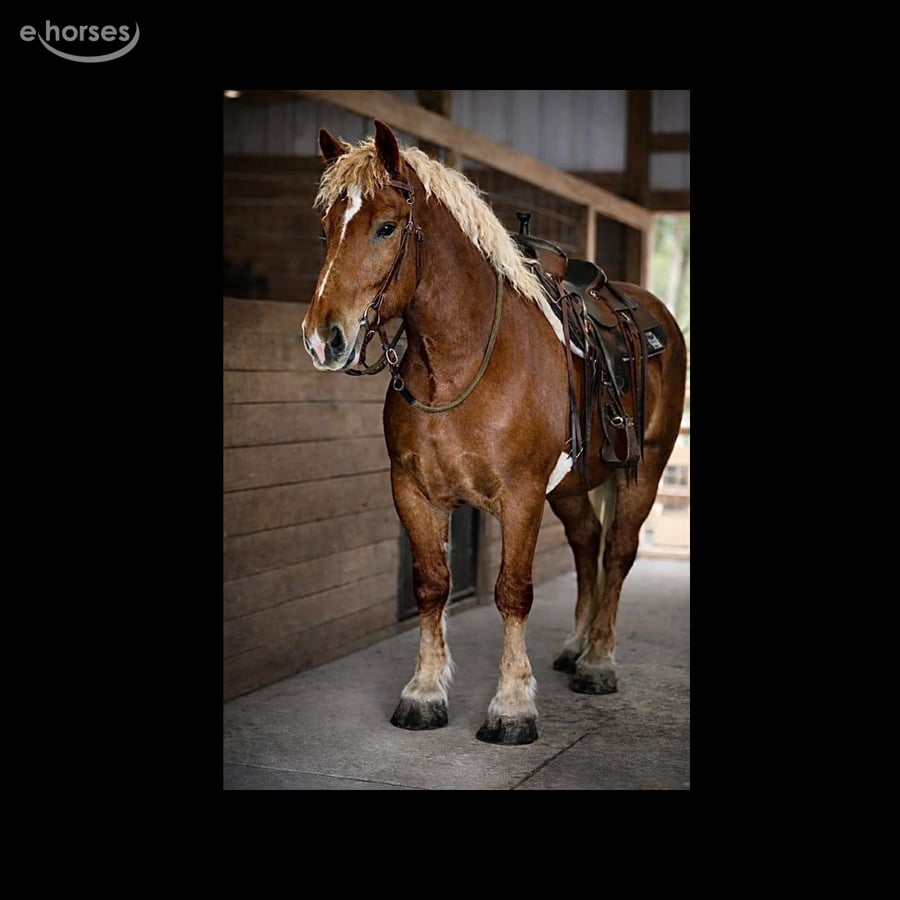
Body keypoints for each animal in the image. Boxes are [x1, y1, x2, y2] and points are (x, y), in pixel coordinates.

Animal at [300, 120, 687, 745]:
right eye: (326, 227)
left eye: (386, 226)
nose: (322, 339)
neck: (461, 363)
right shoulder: (413, 493)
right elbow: (432, 584)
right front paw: (424, 692)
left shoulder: (521, 496)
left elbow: (513, 591)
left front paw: (511, 707)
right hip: (571, 488)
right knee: (587, 544)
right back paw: (575, 646)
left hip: (643, 470)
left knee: (618, 553)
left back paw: (598, 661)